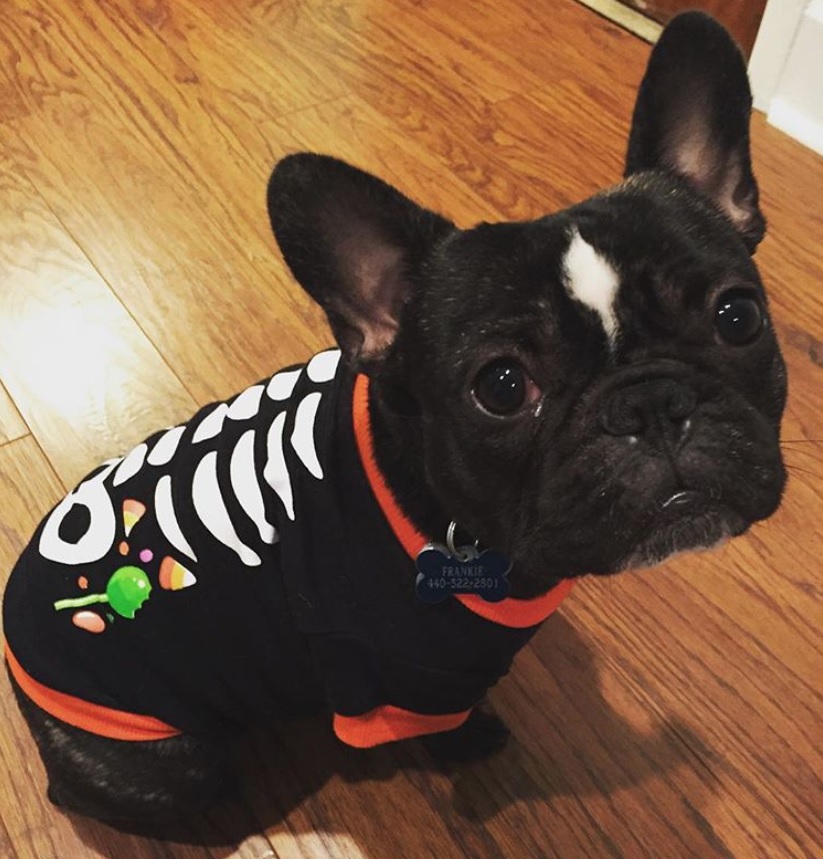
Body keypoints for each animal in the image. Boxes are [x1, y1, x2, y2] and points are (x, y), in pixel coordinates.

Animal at [1, 11, 784, 828]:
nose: (650, 405)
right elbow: (444, 725)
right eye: (502, 386)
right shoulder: (407, 683)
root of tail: (22, 688)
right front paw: (474, 739)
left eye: (738, 317)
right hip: (176, 762)